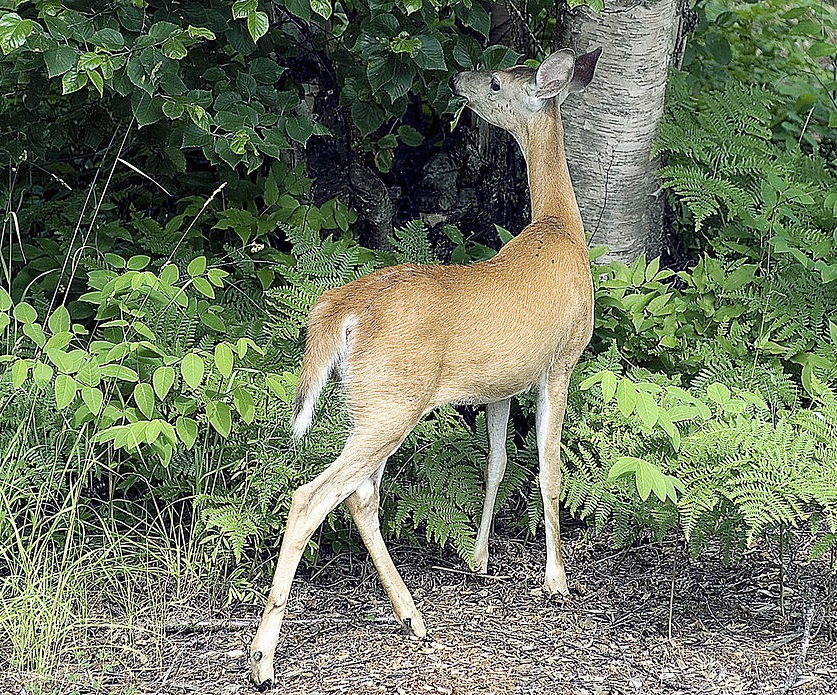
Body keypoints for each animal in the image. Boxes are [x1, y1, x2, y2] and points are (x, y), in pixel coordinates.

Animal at [248, 46, 600, 688]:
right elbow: (549, 472)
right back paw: (263, 656)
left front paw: (481, 560)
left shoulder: (500, 385)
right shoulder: (560, 361)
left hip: (372, 403)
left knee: (360, 498)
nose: (459, 78)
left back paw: (412, 617)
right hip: (392, 402)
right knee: (314, 497)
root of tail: (342, 309)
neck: (560, 228)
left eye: (496, 80)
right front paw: (558, 582)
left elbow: (496, 463)